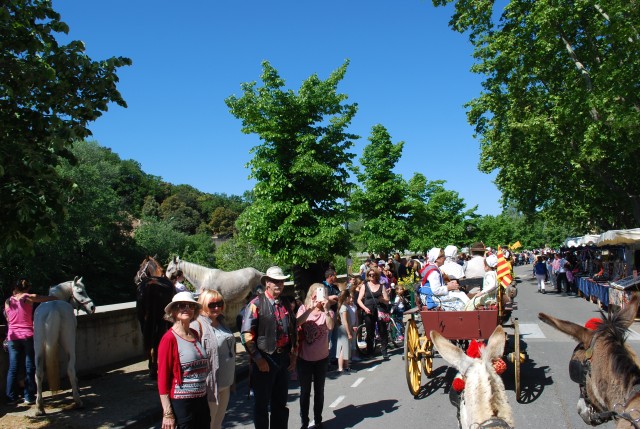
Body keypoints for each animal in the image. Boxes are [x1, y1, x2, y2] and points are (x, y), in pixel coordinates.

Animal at [33, 276, 95, 412]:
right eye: (81, 292)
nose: (92, 307)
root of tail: (53, 309)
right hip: (69, 343)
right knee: (70, 369)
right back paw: (78, 400)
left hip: (38, 346)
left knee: (38, 373)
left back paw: (39, 407)